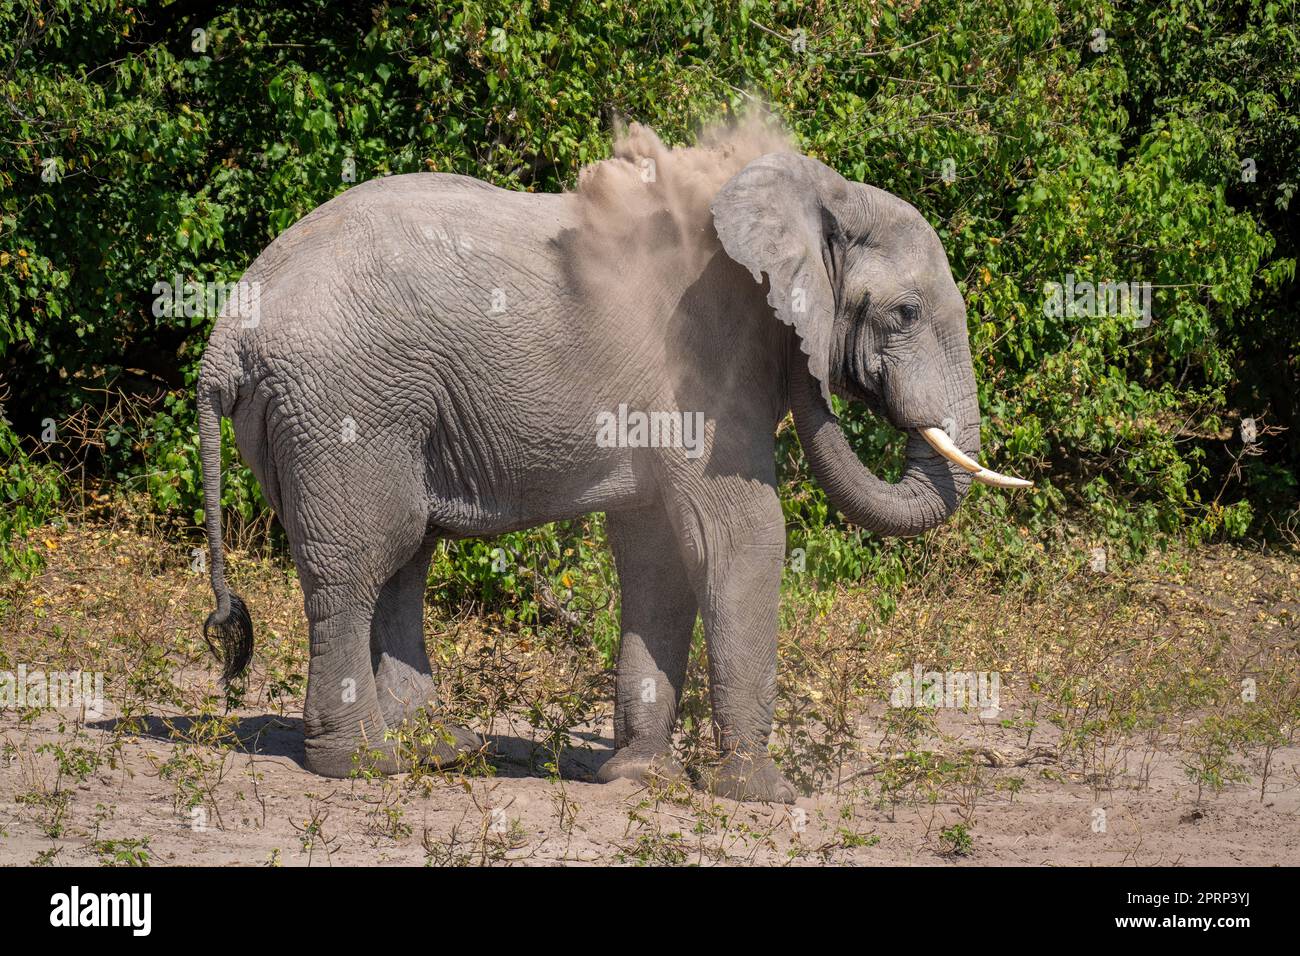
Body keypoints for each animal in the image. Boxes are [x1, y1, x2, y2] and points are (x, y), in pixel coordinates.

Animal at [195, 123, 1024, 806]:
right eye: (905, 314)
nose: (819, 373)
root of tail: (225, 334)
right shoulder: (700, 370)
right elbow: (741, 536)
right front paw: (763, 794)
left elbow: (659, 554)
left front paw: (636, 777)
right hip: (344, 403)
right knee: (363, 560)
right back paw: (364, 765)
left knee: (405, 559)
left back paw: (441, 750)